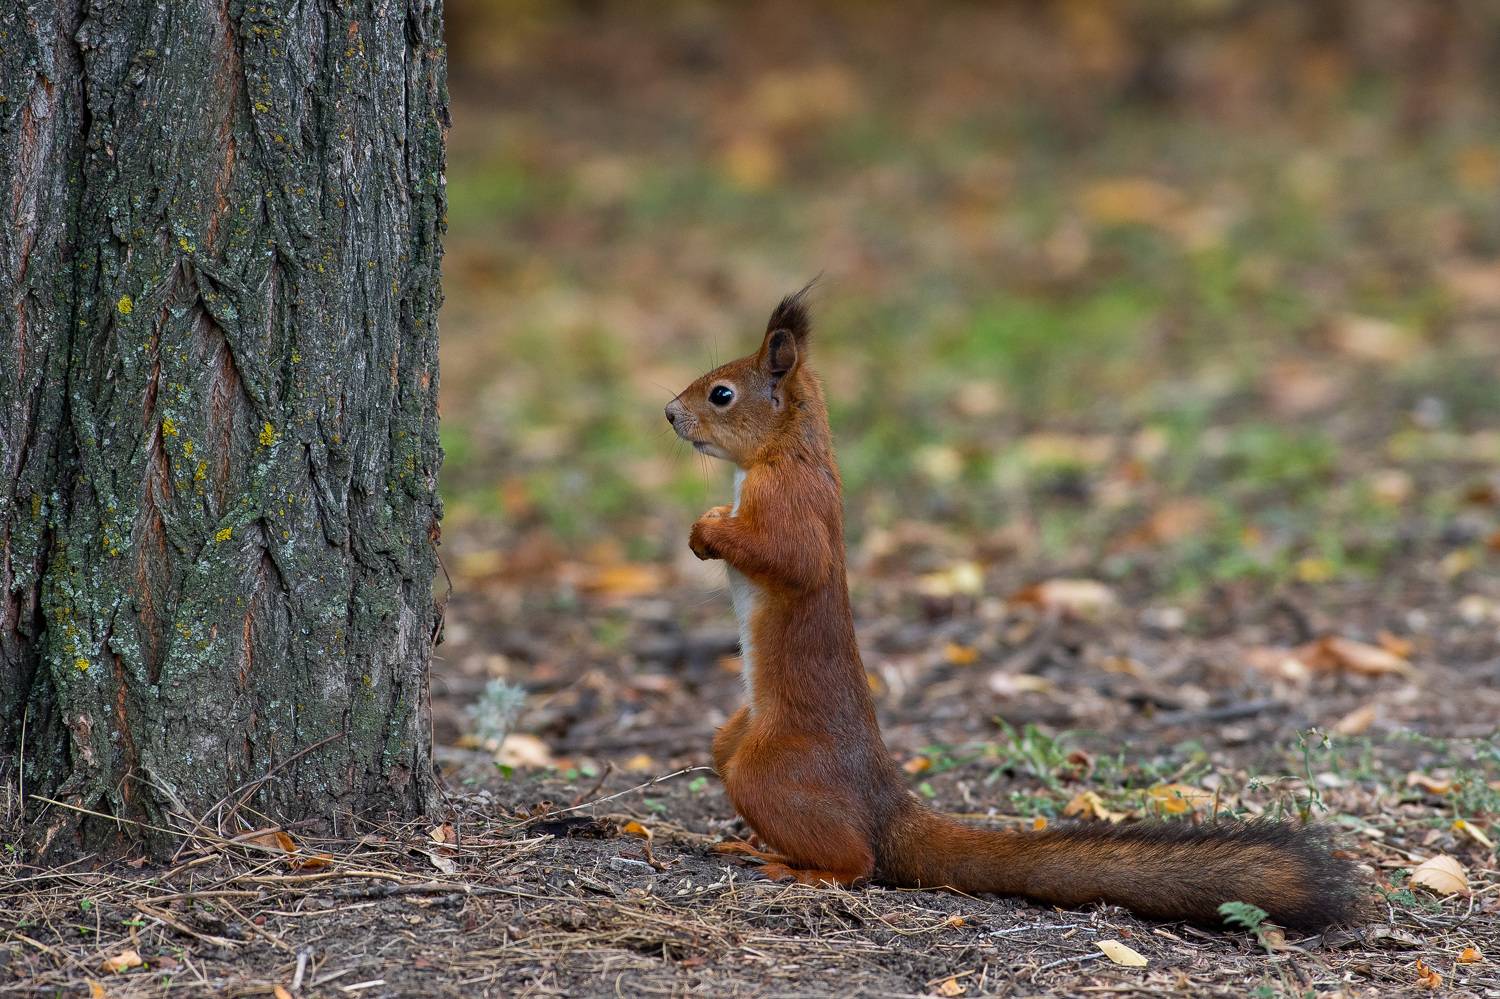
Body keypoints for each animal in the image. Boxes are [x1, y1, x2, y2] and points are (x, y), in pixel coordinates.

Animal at [664, 286, 1358, 930]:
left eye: (721, 394)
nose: (669, 413)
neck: (787, 451)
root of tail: (888, 806)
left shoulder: (793, 503)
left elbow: (791, 557)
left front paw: (708, 532)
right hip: (734, 739)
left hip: (767, 769)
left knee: (857, 862)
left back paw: (799, 868)